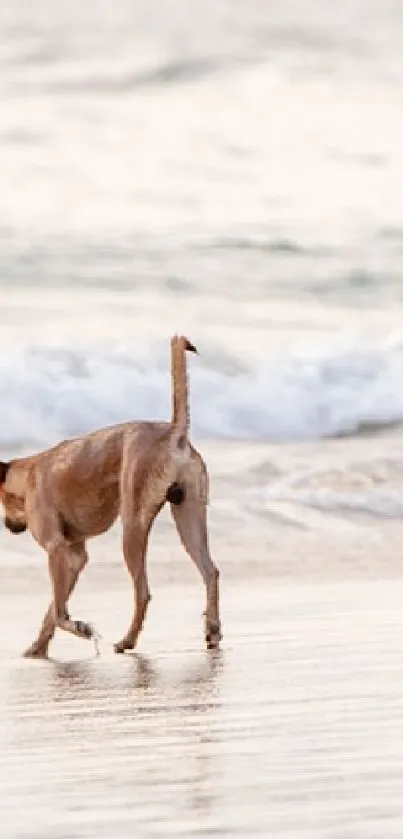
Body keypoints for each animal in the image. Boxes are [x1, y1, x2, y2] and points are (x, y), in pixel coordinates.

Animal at [0, 334, 221, 656]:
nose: (8, 526)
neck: (28, 472)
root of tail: (174, 434)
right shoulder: (74, 555)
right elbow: (54, 608)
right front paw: (39, 646)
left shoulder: (56, 549)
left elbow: (59, 610)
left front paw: (80, 629)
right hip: (189, 518)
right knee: (210, 572)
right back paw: (212, 630)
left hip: (133, 525)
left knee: (143, 591)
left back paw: (128, 640)